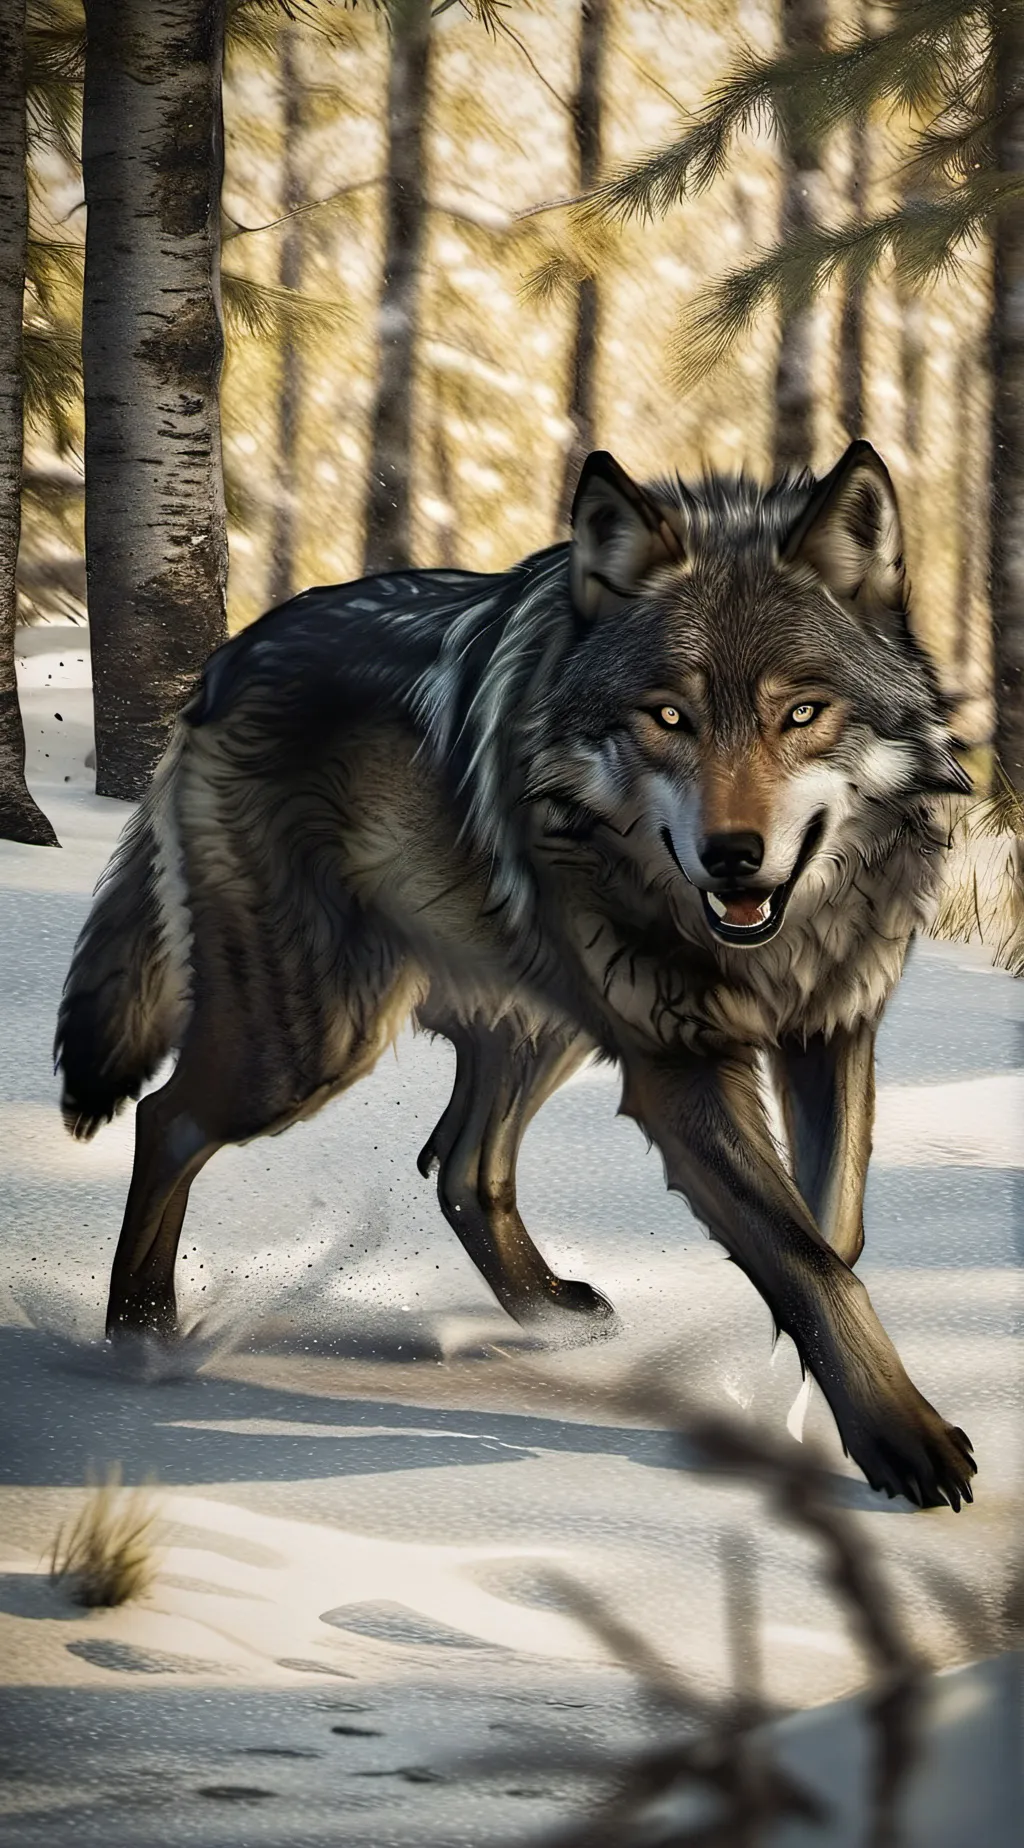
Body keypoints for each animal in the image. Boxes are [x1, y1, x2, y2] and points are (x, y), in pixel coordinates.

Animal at [56, 440, 976, 1510]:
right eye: (669, 715)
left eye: (802, 713)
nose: (733, 857)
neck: (768, 945)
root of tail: (226, 661)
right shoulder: (680, 1064)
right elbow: (806, 1260)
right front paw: (902, 1439)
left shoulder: (831, 1031)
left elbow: (834, 1240)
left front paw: (790, 1417)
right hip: (313, 1043)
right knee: (168, 1117)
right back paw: (143, 1341)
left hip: (549, 1017)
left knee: (460, 1165)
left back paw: (553, 1315)